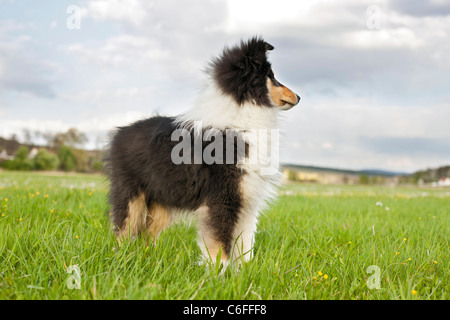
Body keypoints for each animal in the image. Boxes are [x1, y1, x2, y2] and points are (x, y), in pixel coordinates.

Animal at [106, 37, 298, 268]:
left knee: (146, 237)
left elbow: (245, 245)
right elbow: (219, 245)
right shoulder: (221, 199)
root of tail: (121, 131)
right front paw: (219, 273)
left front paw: (244, 273)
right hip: (131, 197)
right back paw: (119, 263)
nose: (298, 97)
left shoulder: (246, 201)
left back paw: (147, 263)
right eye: (271, 76)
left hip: (162, 201)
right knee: (122, 234)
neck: (241, 119)